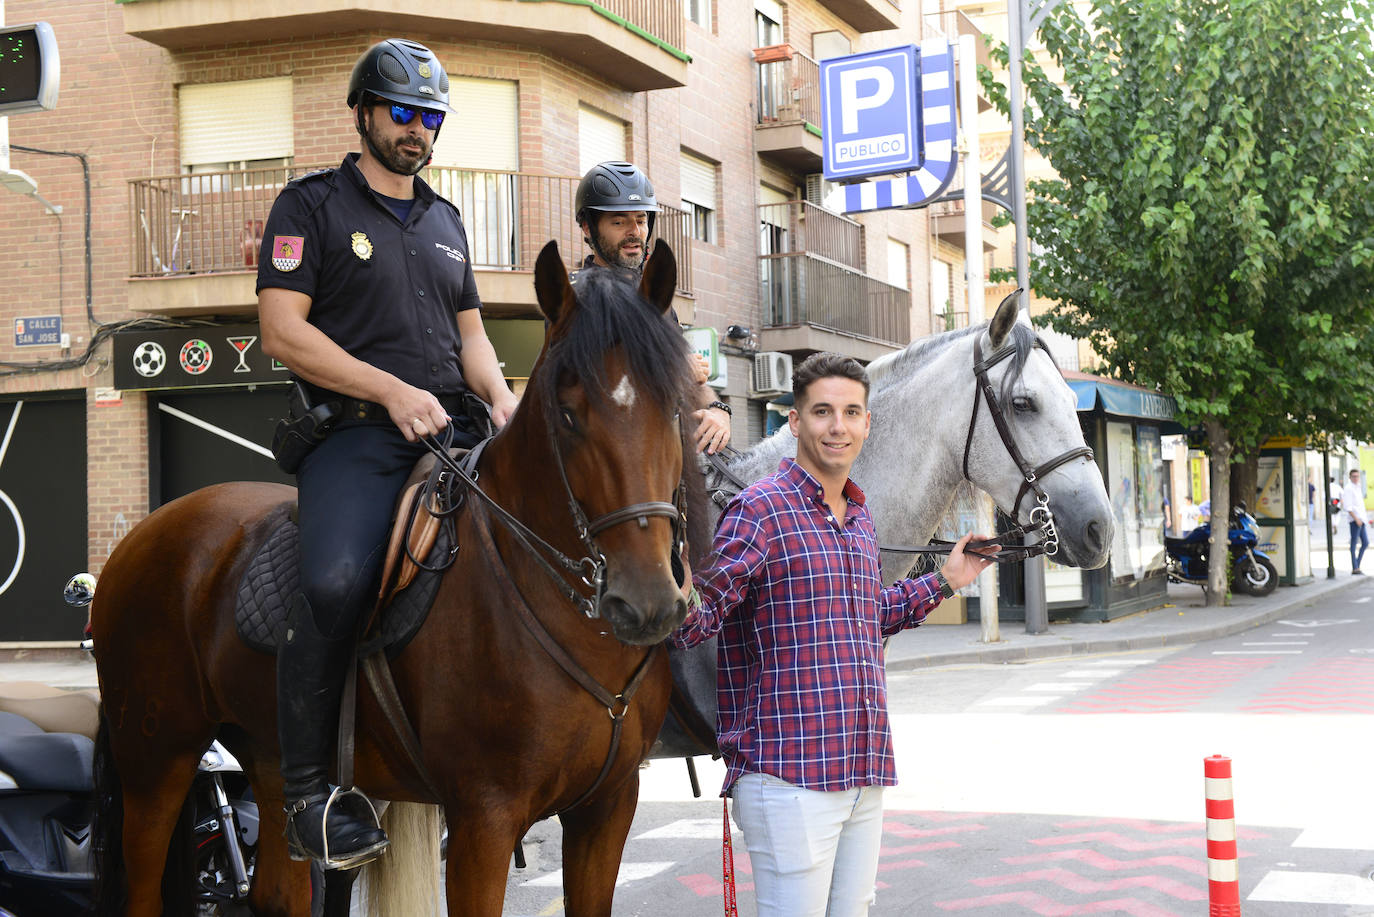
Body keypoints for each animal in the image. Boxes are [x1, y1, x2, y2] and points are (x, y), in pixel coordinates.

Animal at [91, 240, 703, 912]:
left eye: (674, 408)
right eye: (568, 416)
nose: (647, 602)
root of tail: (137, 539)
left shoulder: (607, 810)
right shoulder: (484, 820)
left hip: (266, 755)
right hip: (156, 760)